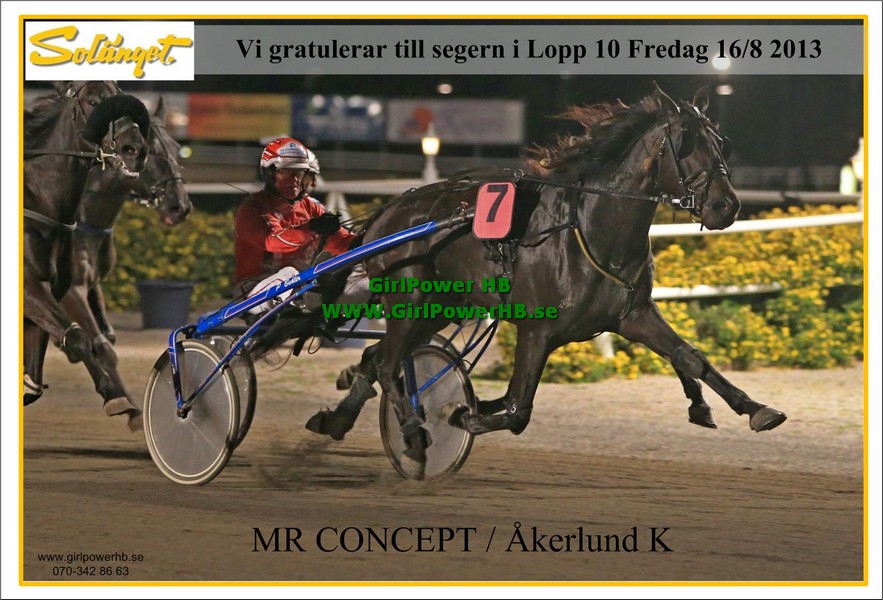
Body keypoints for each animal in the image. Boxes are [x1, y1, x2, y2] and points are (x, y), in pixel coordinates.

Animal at [23, 85, 151, 429]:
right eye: (93, 101)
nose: (135, 149)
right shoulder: (29, 286)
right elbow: (79, 337)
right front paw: (116, 397)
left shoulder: (51, 288)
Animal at [57, 96, 192, 417]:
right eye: (150, 150)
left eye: (175, 147)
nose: (179, 207)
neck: (85, 221)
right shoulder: (70, 290)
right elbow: (102, 346)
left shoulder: (92, 284)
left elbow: (104, 337)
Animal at [304, 84, 787, 458]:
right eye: (685, 143)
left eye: (721, 142)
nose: (726, 206)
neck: (590, 230)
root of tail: (387, 213)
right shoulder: (536, 329)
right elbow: (518, 410)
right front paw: (463, 413)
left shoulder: (633, 315)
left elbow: (690, 356)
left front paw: (754, 409)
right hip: (411, 299)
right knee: (387, 364)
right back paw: (413, 434)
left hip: (440, 307)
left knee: (374, 357)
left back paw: (338, 420)